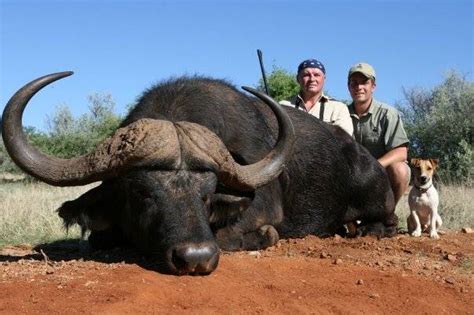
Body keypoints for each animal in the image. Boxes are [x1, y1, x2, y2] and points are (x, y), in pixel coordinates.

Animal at [2, 73, 396, 276]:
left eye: (206, 195)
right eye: (143, 193)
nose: (195, 258)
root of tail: (362, 158)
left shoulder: (263, 213)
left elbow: (246, 234)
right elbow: (100, 238)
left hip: (378, 202)